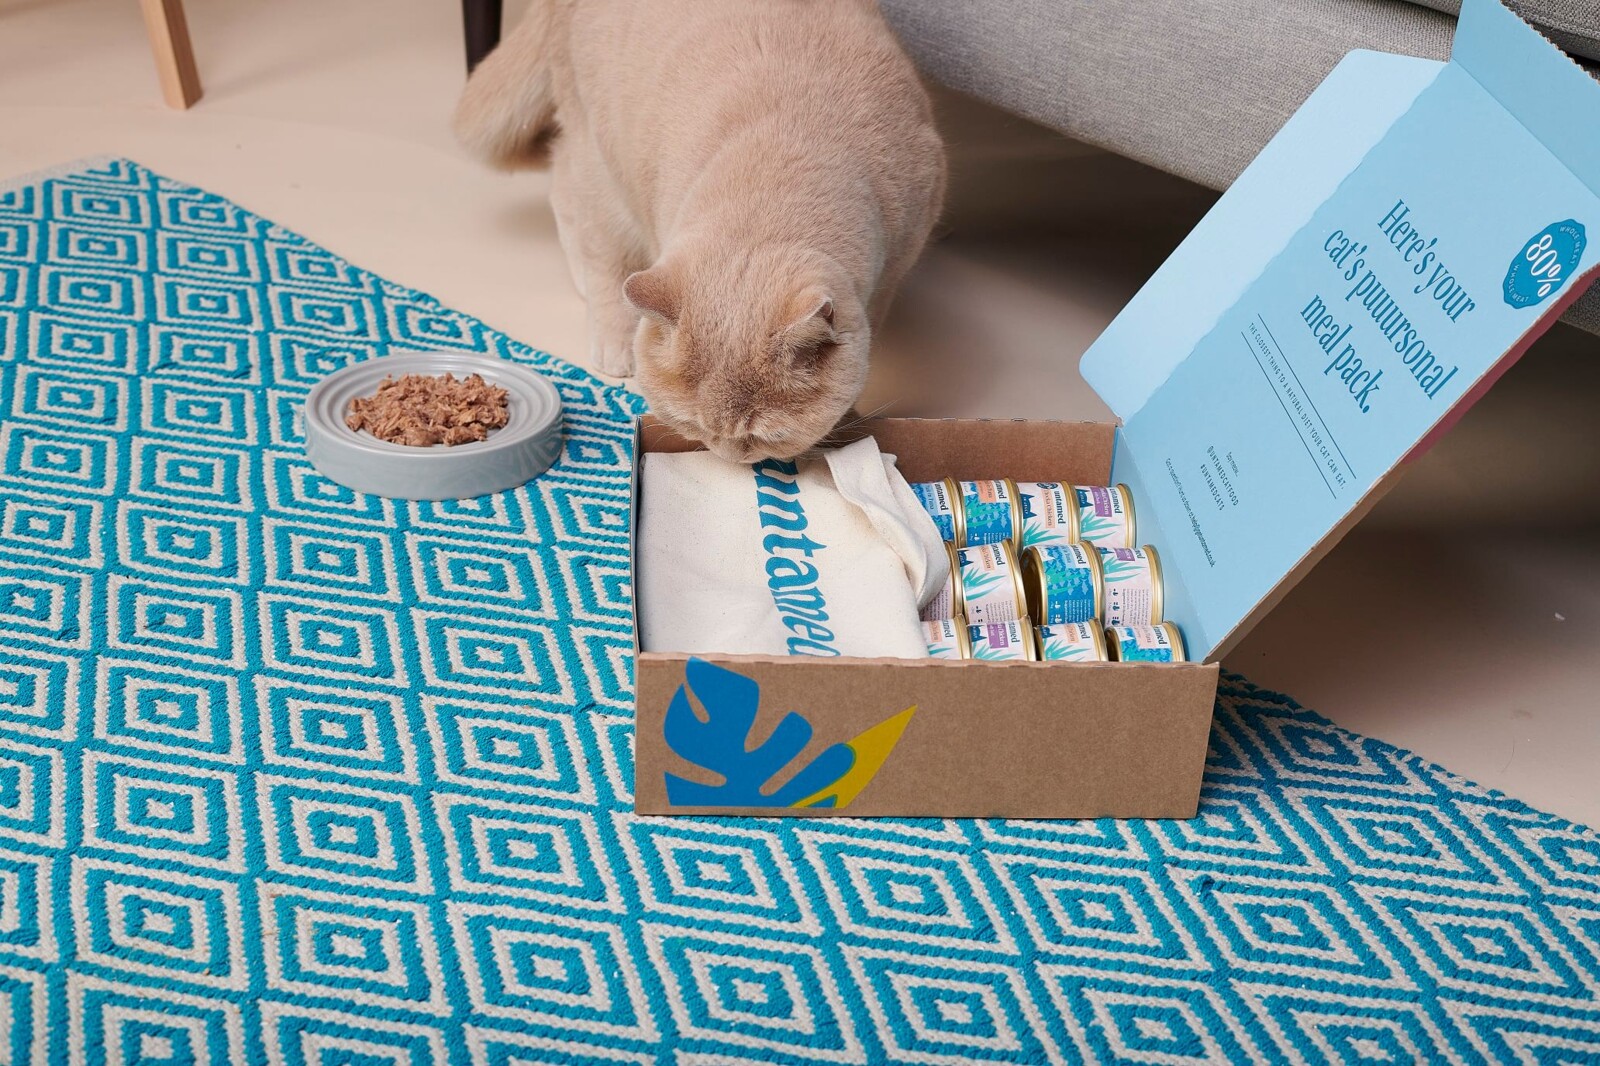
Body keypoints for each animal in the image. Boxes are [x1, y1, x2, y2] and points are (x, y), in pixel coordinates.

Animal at [453, 0, 946, 462]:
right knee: (584, 213)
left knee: (559, 180)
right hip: (602, 156)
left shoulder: (893, 269)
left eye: (765, 435)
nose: (728, 456)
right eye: (693, 424)